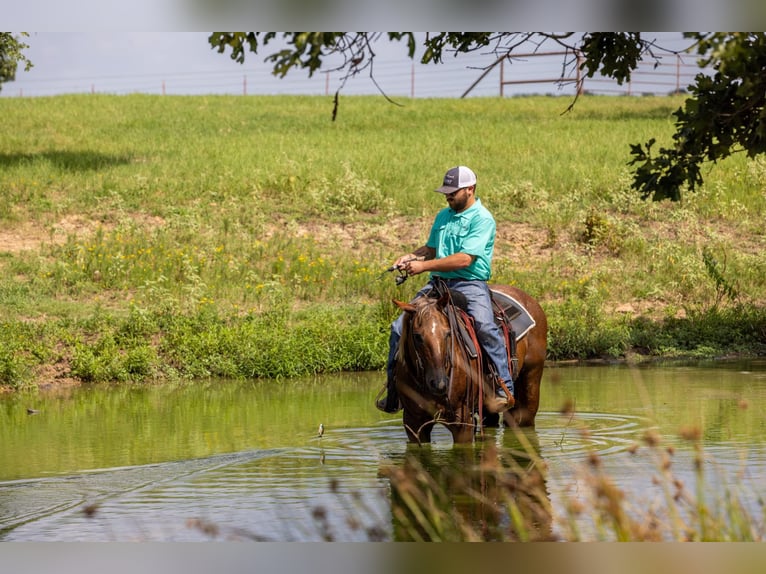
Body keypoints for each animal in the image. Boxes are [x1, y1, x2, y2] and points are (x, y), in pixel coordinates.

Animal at [392, 282, 547, 444]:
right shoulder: (413, 424)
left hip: (529, 388)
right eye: (417, 336)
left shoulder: (463, 422)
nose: (439, 384)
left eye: (448, 333)